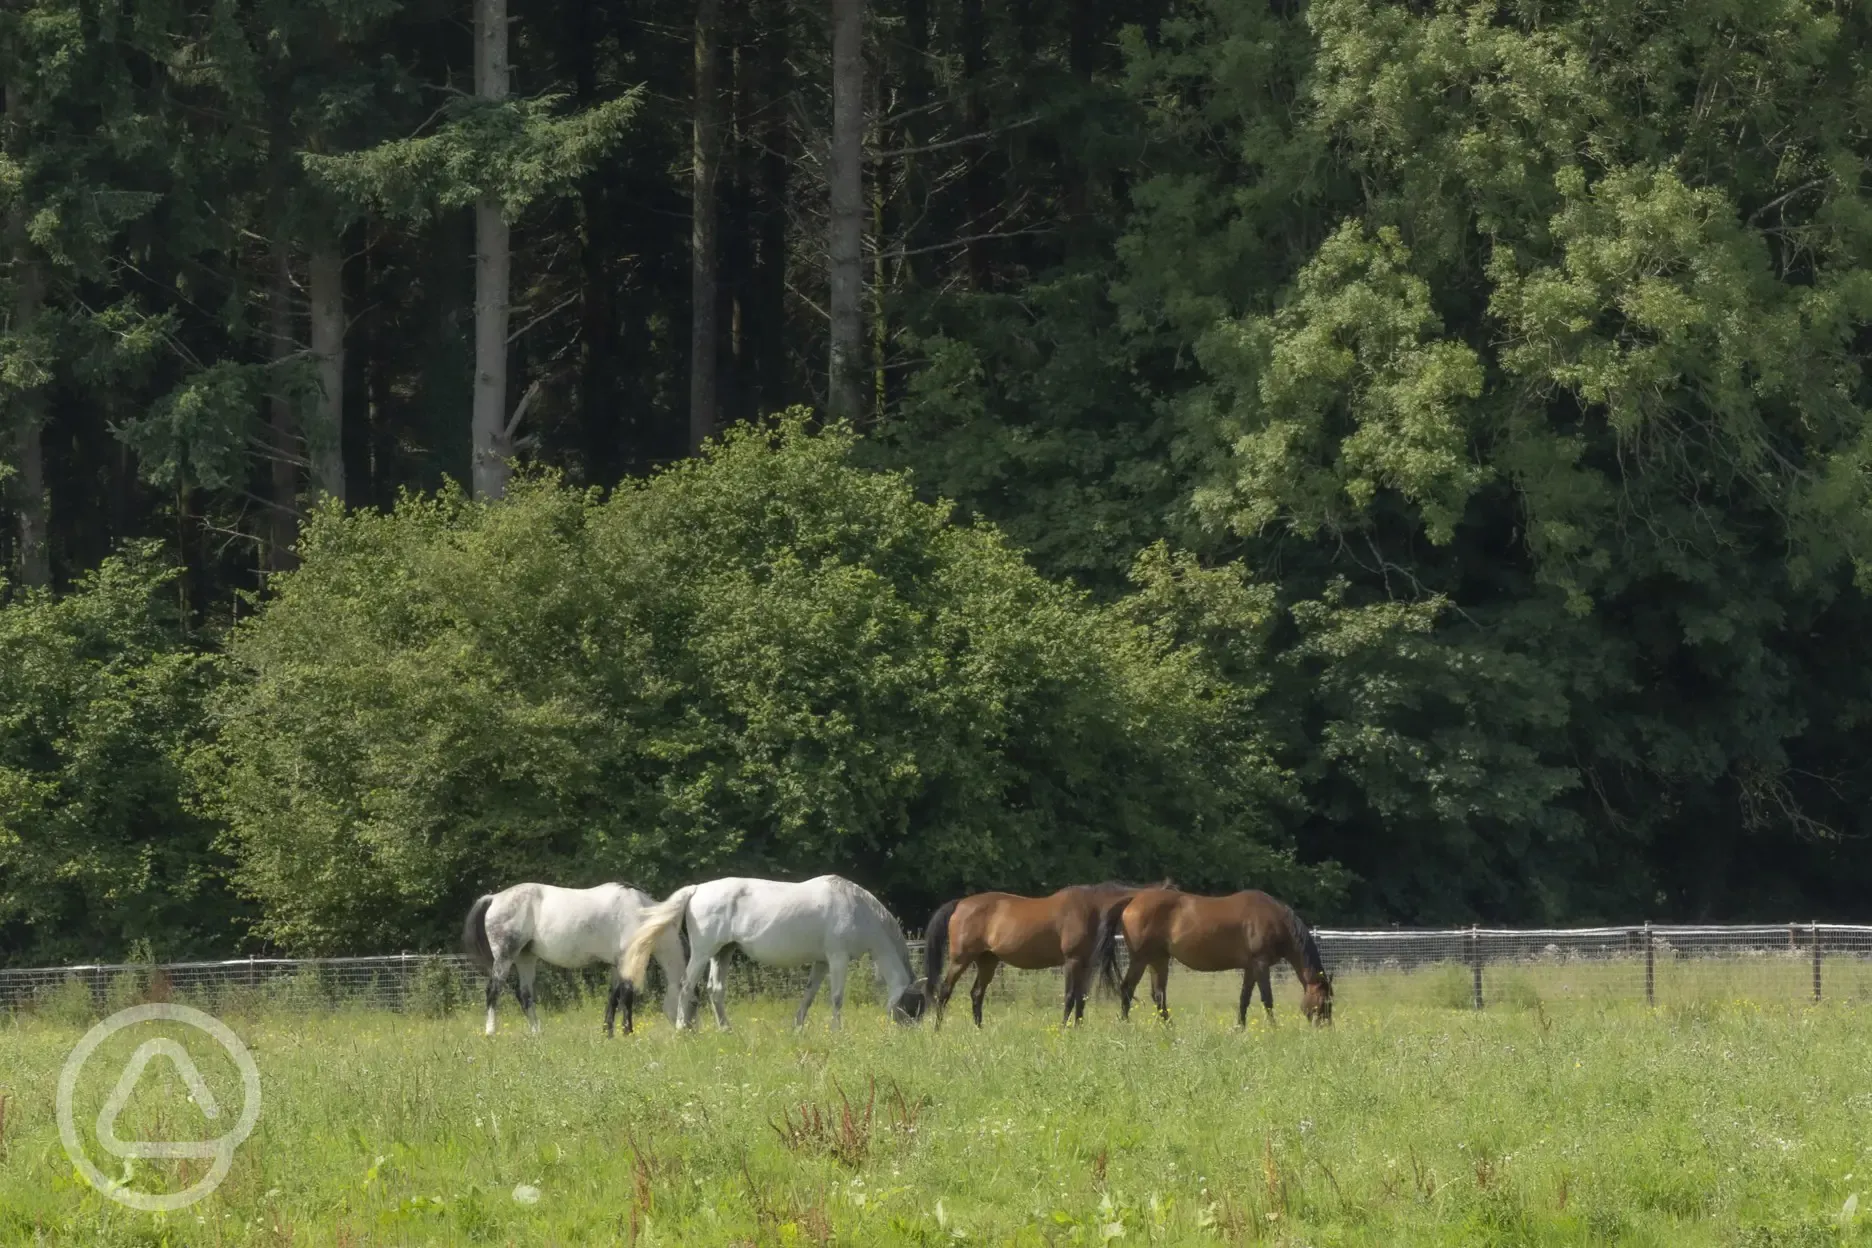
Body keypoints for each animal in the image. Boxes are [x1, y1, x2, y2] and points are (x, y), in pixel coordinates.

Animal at [462, 882, 687, 1037]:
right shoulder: (626, 962)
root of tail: (494, 898)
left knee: (524, 995)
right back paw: (490, 1032)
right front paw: (627, 1032)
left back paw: (537, 1033)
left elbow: (613, 997)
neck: (641, 913)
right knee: (493, 991)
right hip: (505, 957)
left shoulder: (616, 964)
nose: (687, 1029)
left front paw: (608, 1032)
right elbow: (626, 996)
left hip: (526, 958)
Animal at [620, 875, 926, 1030]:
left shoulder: (821, 962)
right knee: (686, 986)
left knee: (715, 990)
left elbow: (809, 995)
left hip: (724, 952)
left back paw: (726, 1030)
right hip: (705, 952)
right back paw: (682, 1029)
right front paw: (836, 1031)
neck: (856, 907)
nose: (910, 1034)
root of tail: (696, 891)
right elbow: (837, 998)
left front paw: (798, 1028)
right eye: (913, 1007)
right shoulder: (837, 958)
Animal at [922, 882, 1163, 1028]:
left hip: (987, 961)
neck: (1090, 908)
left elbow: (1081, 998)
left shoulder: (1086, 964)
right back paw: (937, 1029)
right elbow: (1069, 997)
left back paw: (979, 1029)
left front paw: (1079, 1028)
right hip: (960, 960)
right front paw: (1065, 1029)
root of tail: (960, 904)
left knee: (976, 994)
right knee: (945, 991)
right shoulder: (1072, 962)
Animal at [1096, 888, 1333, 1026]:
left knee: (1158, 995)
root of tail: (1133, 900)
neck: (1275, 921)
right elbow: (1267, 999)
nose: (1325, 1028)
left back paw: (1170, 1029)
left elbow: (1244, 999)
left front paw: (1240, 1028)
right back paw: (1126, 1026)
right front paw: (1274, 1029)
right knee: (1127, 989)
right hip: (1141, 959)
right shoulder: (1260, 964)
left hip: (1158, 959)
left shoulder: (1250, 968)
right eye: (1325, 1001)